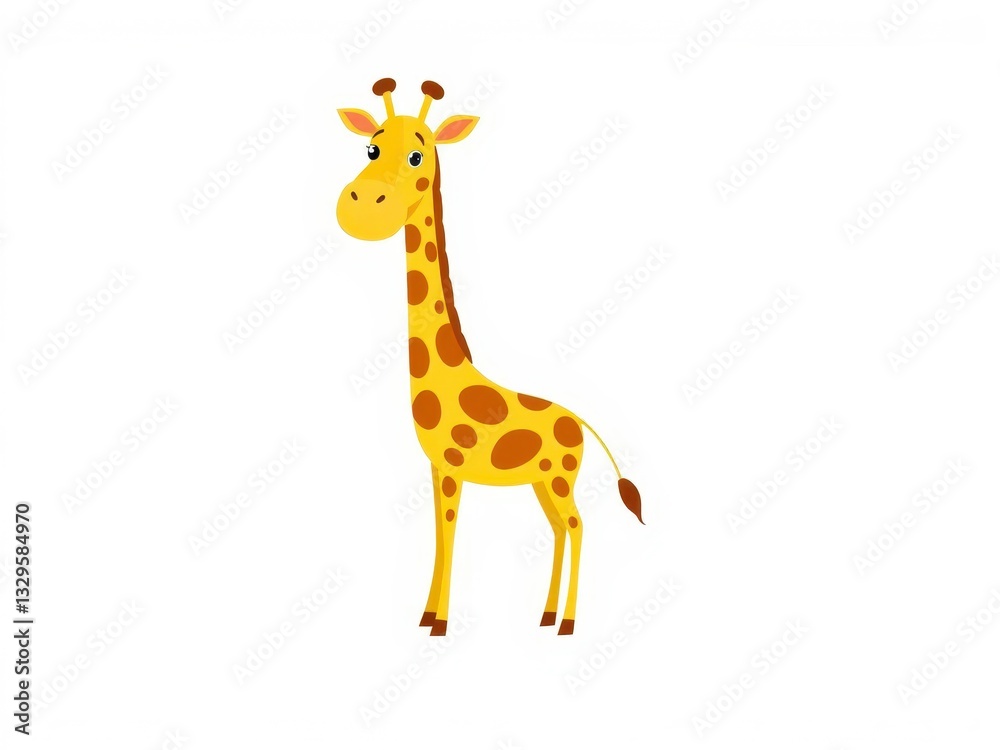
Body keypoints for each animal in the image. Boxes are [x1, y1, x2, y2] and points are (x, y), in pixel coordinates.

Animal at [336, 79, 644, 636]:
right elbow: (439, 534)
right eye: (370, 148)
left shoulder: (453, 467)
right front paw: (425, 616)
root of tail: (581, 424)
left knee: (576, 524)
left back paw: (567, 623)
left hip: (559, 477)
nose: (362, 207)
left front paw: (439, 623)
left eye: (417, 155)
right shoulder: (436, 468)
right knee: (560, 527)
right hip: (543, 481)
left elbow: (450, 532)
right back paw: (544, 616)